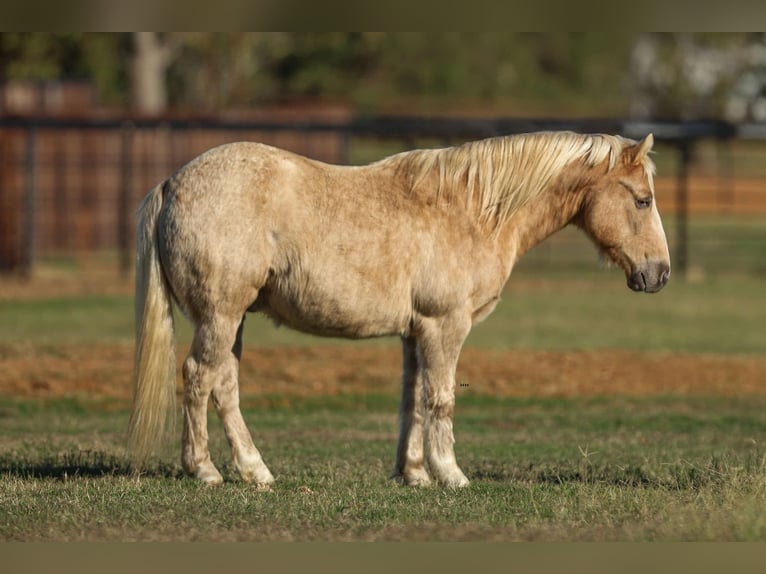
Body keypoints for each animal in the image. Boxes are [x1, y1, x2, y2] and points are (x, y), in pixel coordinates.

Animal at [127, 130, 670, 488]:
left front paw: (413, 474)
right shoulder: (446, 326)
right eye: (642, 201)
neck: (472, 208)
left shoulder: (416, 332)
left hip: (231, 320)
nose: (659, 273)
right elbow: (441, 398)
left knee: (223, 385)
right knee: (200, 377)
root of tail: (172, 184)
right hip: (219, 317)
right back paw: (206, 470)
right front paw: (451, 475)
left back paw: (254, 470)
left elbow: (414, 397)